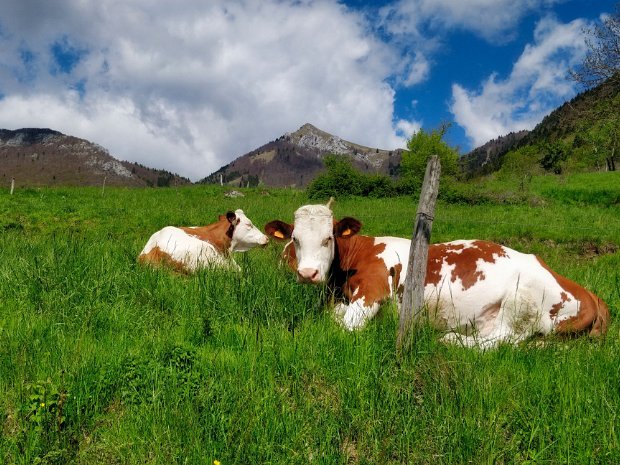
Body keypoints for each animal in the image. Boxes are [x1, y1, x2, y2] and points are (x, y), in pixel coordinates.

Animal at [264, 201, 608, 346]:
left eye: (328, 238)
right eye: (295, 239)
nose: (308, 273)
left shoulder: (372, 292)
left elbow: (339, 326)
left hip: (522, 304)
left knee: (502, 341)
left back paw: (450, 339)